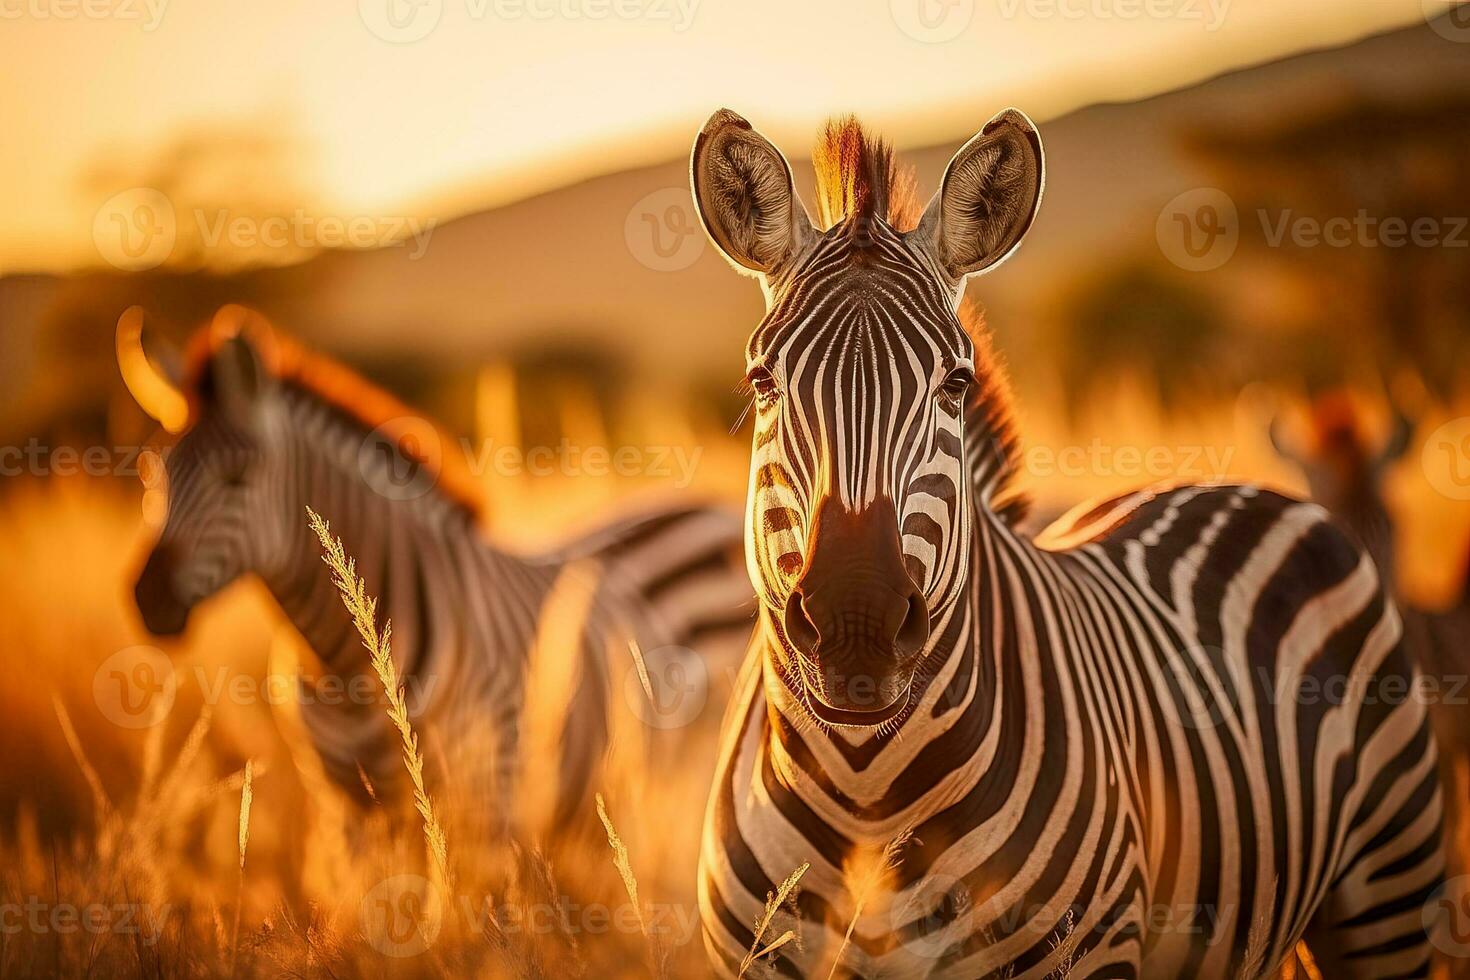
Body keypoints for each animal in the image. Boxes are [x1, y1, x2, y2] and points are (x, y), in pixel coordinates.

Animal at [120, 304, 752, 834]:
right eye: (153, 474)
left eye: (237, 479)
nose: (148, 599)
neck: (344, 666)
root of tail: (719, 505)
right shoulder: (347, 808)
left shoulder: (488, 798)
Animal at [690, 109, 1446, 980]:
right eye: (762, 383)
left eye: (955, 384)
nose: (857, 628)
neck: (865, 792)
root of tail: (1247, 487)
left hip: (1387, 887)